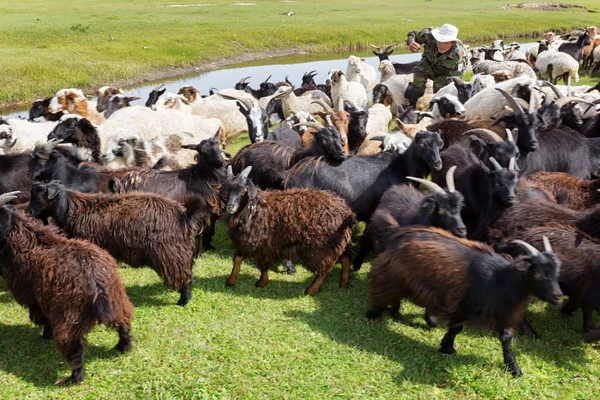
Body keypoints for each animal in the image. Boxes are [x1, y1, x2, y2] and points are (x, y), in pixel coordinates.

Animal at [0, 192, 132, 386]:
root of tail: (97, 281)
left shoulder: (37, 299)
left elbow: (44, 319)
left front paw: (45, 335)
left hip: (69, 317)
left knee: (75, 349)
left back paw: (74, 378)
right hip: (118, 301)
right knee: (124, 324)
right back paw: (123, 347)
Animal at [25, 181, 207, 306]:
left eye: (40, 196)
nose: (28, 212)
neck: (72, 210)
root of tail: (184, 216)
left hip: (171, 254)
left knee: (185, 277)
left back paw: (183, 301)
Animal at [219, 165, 354, 294]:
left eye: (243, 190)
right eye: (227, 189)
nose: (230, 207)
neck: (252, 207)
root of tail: (346, 212)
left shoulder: (262, 243)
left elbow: (263, 264)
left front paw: (261, 282)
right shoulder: (245, 240)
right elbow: (237, 258)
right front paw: (231, 281)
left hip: (321, 246)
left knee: (325, 269)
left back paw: (311, 290)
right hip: (339, 242)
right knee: (346, 258)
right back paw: (344, 282)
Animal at [366, 225, 564, 378]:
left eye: (557, 271)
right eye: (538, 274)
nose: (558, 297)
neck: (501, 278)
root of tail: (400, 235)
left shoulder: (502, 313)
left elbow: (506, 338)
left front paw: (513, 368)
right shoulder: (465, 305)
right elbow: (456, 327)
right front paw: (447, 347)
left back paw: (403, 313)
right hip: (394, 274)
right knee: (383, 289)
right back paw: (374, 312)